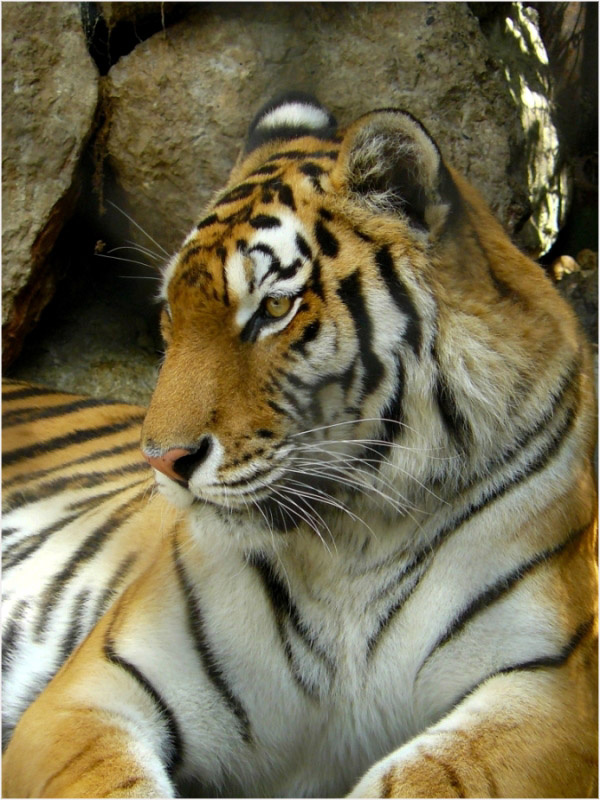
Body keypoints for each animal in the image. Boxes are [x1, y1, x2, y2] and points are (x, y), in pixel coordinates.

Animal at [2, 91, 597, 798]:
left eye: (274, 308)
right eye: (171, 311)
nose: (164, 461)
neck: (356, 538)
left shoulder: (553, 688)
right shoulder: (94, 692)